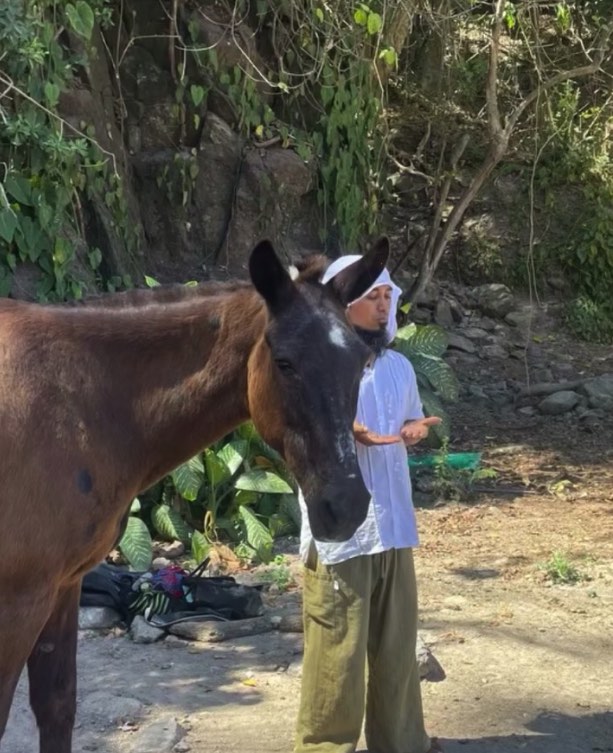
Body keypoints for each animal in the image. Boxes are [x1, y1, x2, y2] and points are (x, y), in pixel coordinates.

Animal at [0, 236, 389, 752]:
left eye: (361, 364)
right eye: (284, 362)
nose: (344, 506)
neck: (73, 400)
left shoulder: (62, 586)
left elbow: (56, 705)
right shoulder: (18, 600)